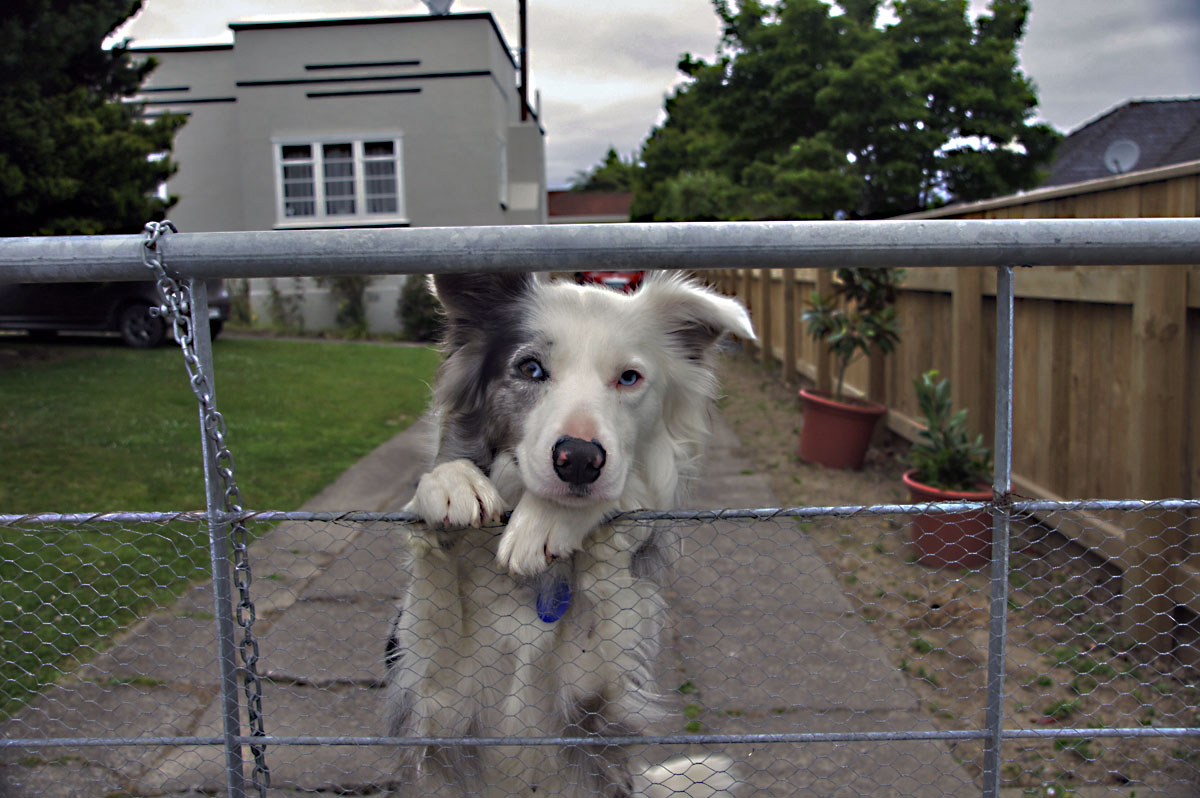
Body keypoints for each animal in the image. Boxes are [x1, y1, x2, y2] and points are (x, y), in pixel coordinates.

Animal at [386, 271, 748, 792]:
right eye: (531, 369)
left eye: (629, 377)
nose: (578, 459)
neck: (532, 588)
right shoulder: (441, 703)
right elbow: (433, 607)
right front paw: (450, 484)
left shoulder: (591, 704)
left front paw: (549, 521)